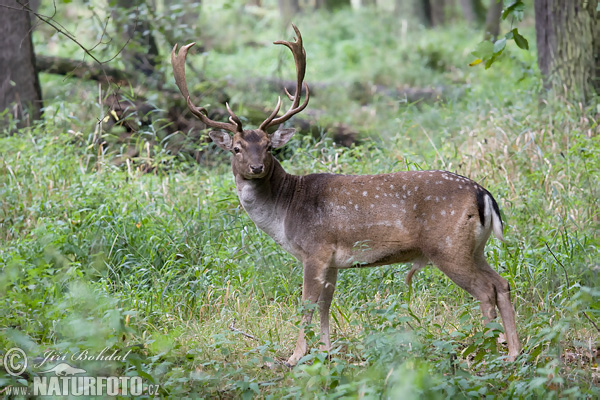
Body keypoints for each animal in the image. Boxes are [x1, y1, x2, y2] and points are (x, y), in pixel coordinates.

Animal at [172, 22, 520, 366]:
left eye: (269, 147)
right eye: (237, 148)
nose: (256, 167)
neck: (285, 212)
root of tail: (484, 194)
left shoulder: (316, 249)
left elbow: (307, 305)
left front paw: (295, 356)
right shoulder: (333, 261)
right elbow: (326, 305)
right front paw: (327, 352)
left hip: (447, 246)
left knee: (485, 290)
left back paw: (484, 353)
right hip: (474, 247)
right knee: (502, 283)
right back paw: (513, 351)